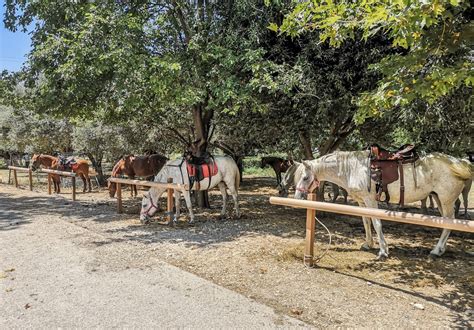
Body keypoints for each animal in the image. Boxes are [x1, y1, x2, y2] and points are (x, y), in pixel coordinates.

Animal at [294, 151, 472, 260]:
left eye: (305, 178)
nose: (297, 197)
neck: (352, 168)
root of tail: (457, 162)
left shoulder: (371, 201)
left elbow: (376, 223)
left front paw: (383, 251)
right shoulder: (361, 202)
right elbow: (366, 222)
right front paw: (368, 244)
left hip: (446, 201)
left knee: (449, 223)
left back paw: (436, 250)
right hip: (439, 199)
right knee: (448, 223)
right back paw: (441, 249)